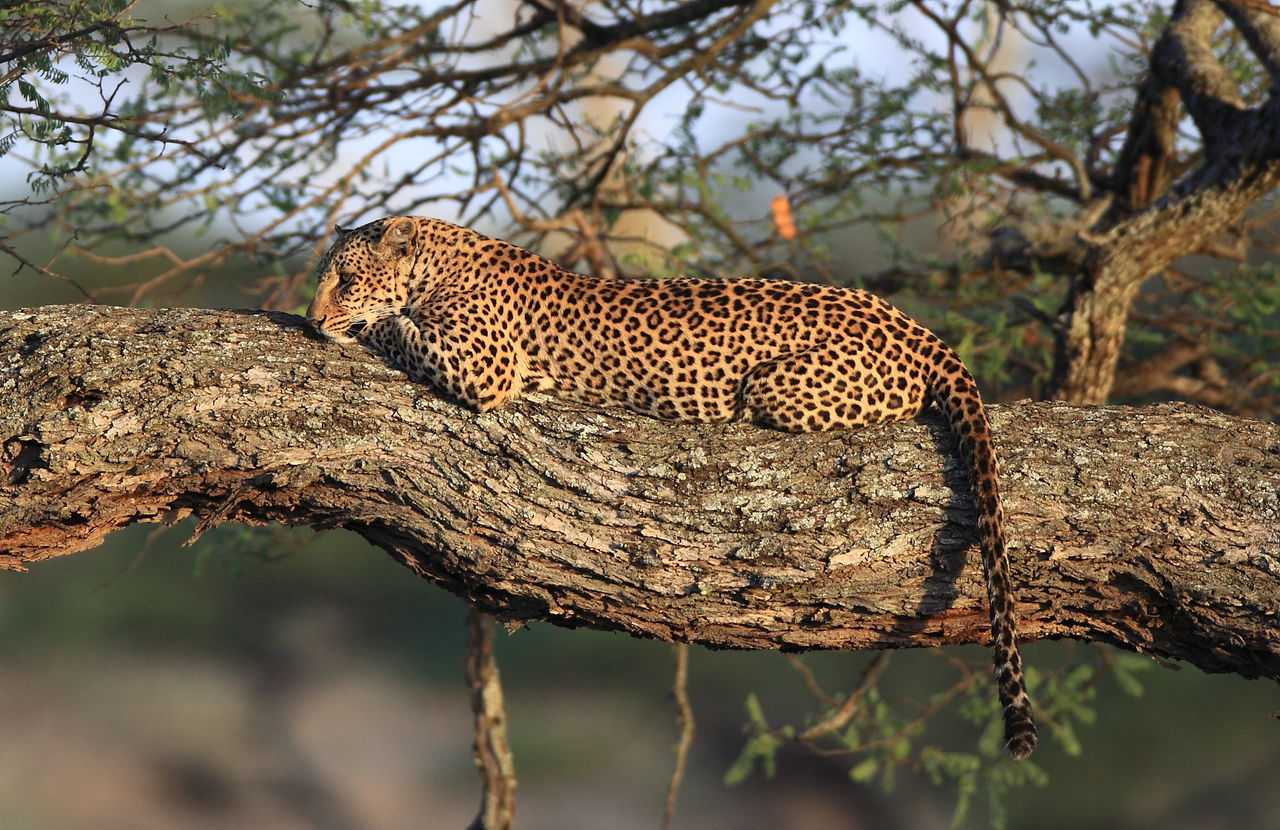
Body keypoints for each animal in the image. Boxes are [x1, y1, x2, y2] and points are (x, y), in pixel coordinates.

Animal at [309, 212, 1039, 758]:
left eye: (344, 279)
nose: (313, 320)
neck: (437, 257)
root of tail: (917, 327)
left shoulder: (484, 365)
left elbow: (397, 329)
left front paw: (362, 327)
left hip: (779, 387)